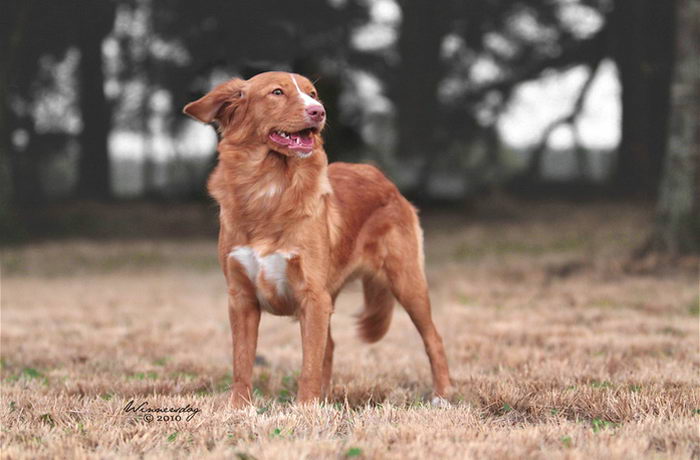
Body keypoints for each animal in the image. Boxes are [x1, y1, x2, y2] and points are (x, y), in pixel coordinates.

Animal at [183, 71, 452, 406]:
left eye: (313, 94)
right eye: (277, 92)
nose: (319, 112)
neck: (269, 187)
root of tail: (383, 179)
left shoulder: (313, 296)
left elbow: (309, 364)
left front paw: (305, 409)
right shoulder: (241, 298)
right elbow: (242, 362)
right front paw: (238, 407)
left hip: (407, 282)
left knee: (434, 338)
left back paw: (442, 395)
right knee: (331, 346)